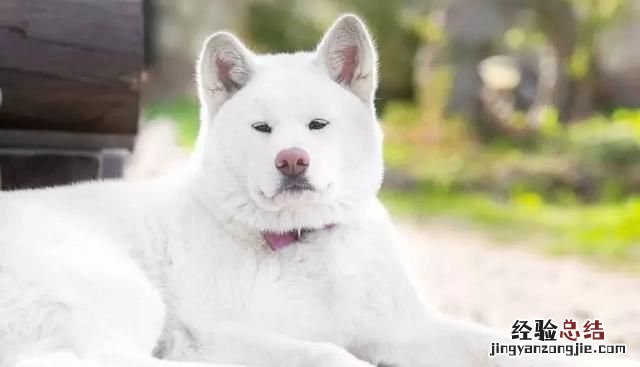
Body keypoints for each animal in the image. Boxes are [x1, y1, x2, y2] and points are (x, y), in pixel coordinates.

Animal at [0, 14, 636, 367]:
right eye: (262, 129)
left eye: (317, 125)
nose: (292, 160)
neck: (305, 243)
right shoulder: (218, 331)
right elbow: (327, 352)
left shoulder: (409, 328)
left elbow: (500, 344)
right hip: (119, 290)